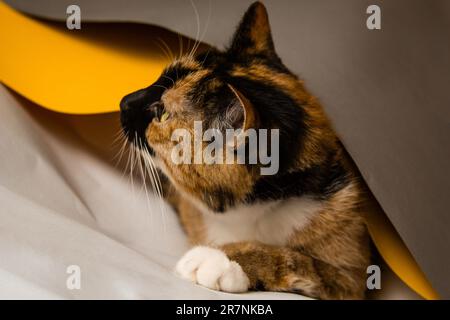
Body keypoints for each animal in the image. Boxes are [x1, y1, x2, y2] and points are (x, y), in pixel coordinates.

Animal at [119, 1, 370, 298]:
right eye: (158, 76)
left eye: (163, 112)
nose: (123, 101)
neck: (252, 213)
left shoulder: (350, 278)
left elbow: (296, 258)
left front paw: (219, 259)